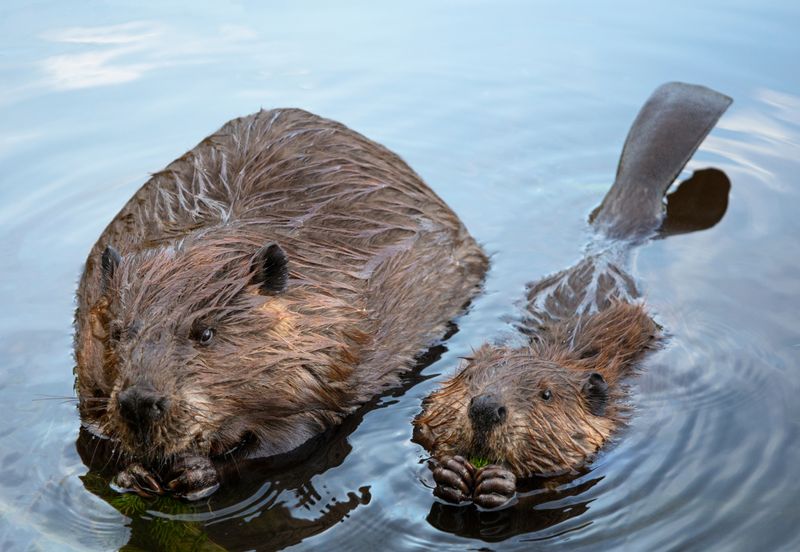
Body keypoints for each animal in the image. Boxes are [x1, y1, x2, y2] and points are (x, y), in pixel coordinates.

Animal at [75, 108, 488, 500]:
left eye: (205, 333)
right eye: (118, 332)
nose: (140, 402)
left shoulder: (333, 353)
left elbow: (291, 438)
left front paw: (196, 473)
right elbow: (92, 428)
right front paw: (132, 473)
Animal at [412, 82, 732, 508]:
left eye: (546, 395)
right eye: (469, 377)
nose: (485, 407)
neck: (558, 353)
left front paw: (497, 483)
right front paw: (452, 473)